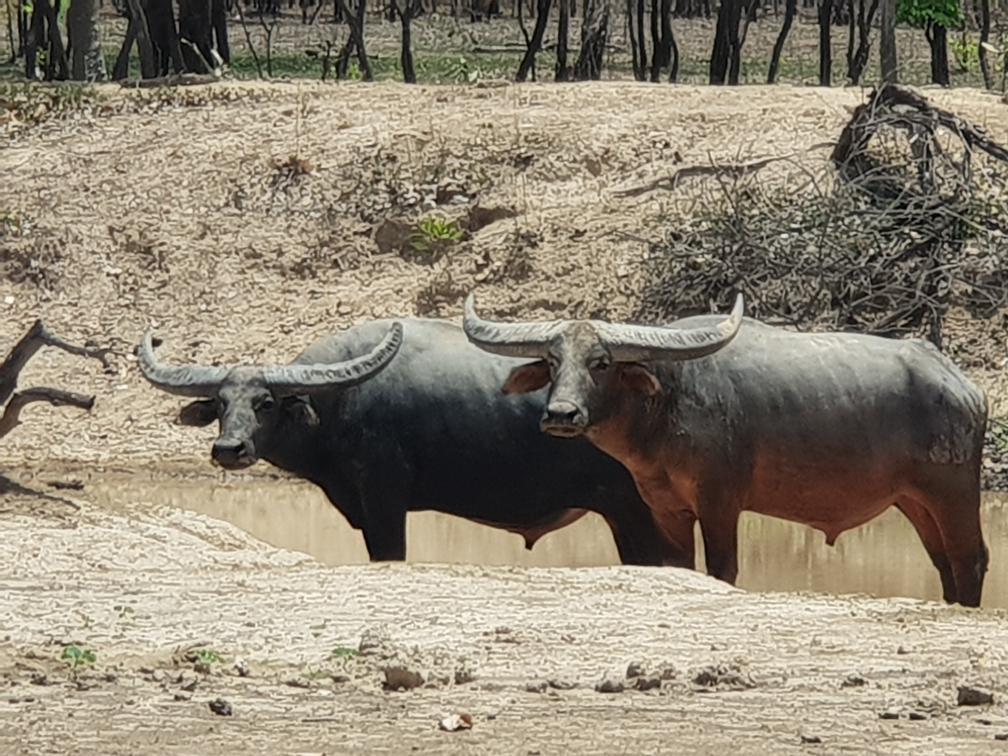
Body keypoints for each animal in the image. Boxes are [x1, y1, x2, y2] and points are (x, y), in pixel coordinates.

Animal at [137, 318, 682, 565]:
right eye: (220, 402)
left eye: (266, 402)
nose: (229, 450)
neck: (340, 403)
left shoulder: (384, 500)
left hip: (635, 511)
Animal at [463, 293, 990, 607]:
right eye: (553, 361)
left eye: (601, 362)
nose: (561, 414)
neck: (670, 402)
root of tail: (964, 386)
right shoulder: (668, 509)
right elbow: (680, 567)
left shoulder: (720, 502)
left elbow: (722, 568)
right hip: (915, 502)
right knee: (944, 561)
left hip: (953, 493)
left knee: (971, 558)